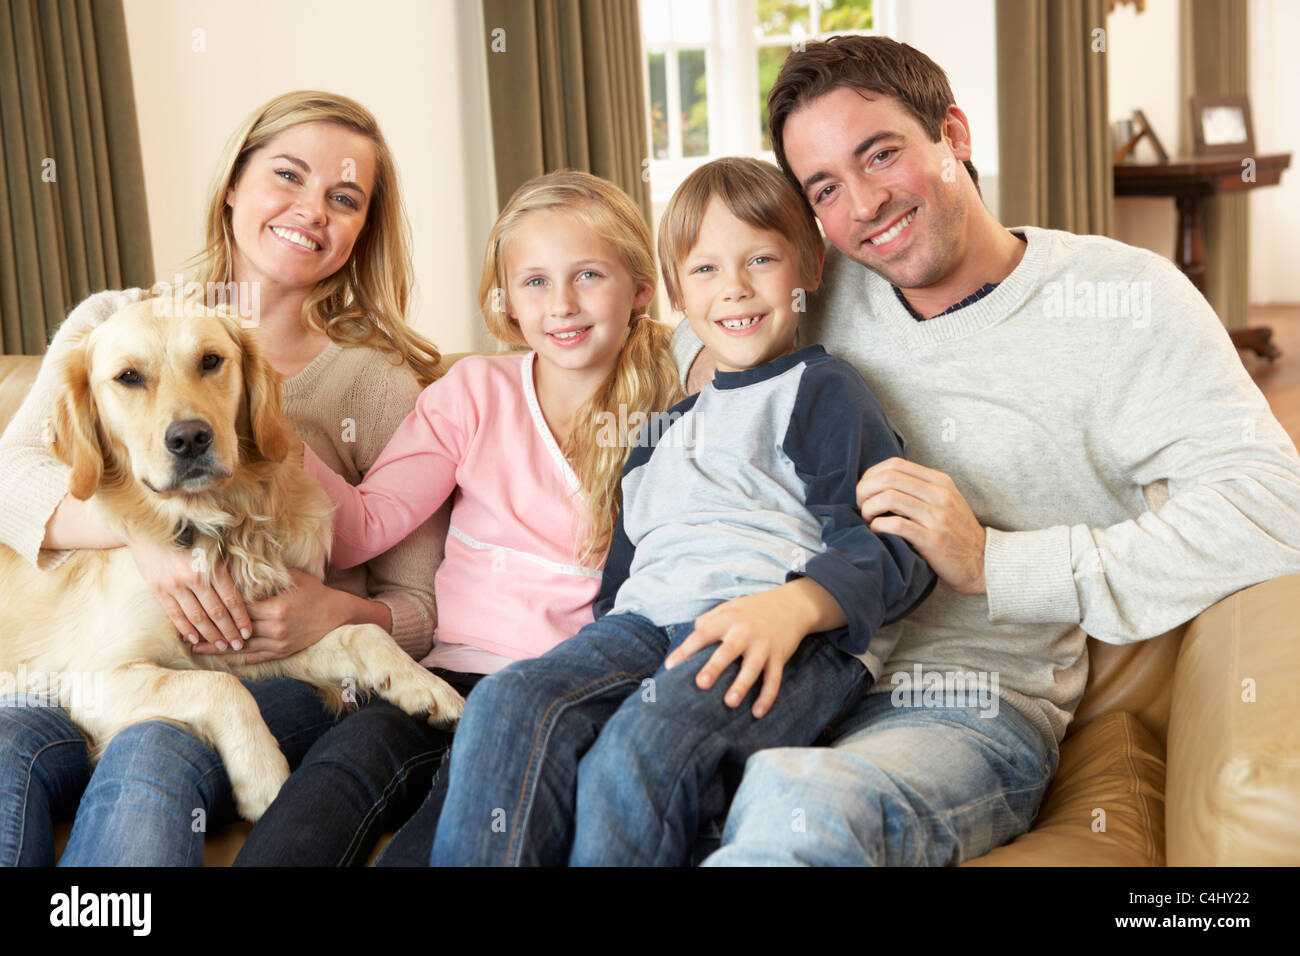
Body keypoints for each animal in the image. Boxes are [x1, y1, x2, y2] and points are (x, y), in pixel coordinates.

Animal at [0, 299, 465, 822]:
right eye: (128, 377)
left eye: (210, 361)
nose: (190, 438)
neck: (222, 524)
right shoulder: (95, 676)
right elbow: (222, 689)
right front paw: (264, 778)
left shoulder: (255, 642)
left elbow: (361, 633)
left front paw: (426, 687)